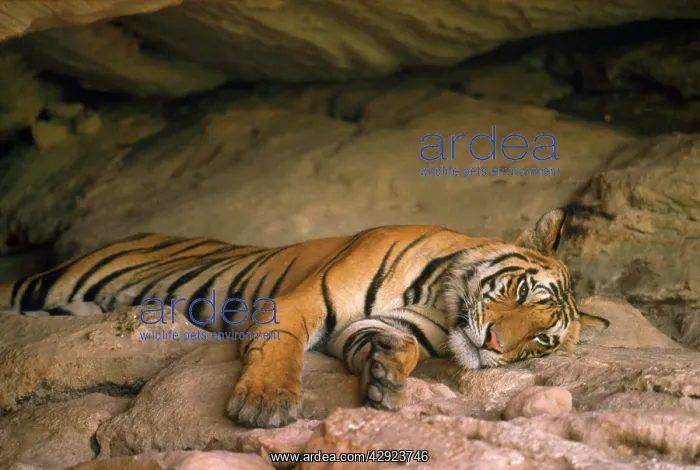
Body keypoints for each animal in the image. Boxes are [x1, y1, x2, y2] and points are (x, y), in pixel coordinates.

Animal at [0, 208, 609, 428]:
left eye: (543, 341)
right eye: (521, 289)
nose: (496, 347)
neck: (436, 297)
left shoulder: (377, 327)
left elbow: (393, 344)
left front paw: (385, 378)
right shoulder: (300, 303)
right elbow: (281, 346)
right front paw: (265, 403)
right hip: (51, 281)